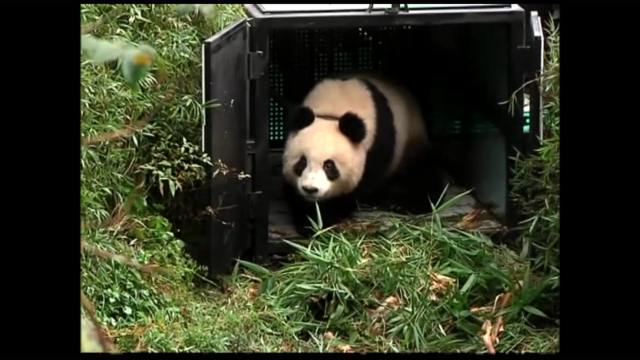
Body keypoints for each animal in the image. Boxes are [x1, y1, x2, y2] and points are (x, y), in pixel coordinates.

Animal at [282, 73, 428, 236]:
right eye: (302, 162)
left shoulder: (378, 144)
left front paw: (328, 214)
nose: (310, 189)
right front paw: (309, 219)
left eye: (329, 165)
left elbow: (358, 186)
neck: (334, 112)